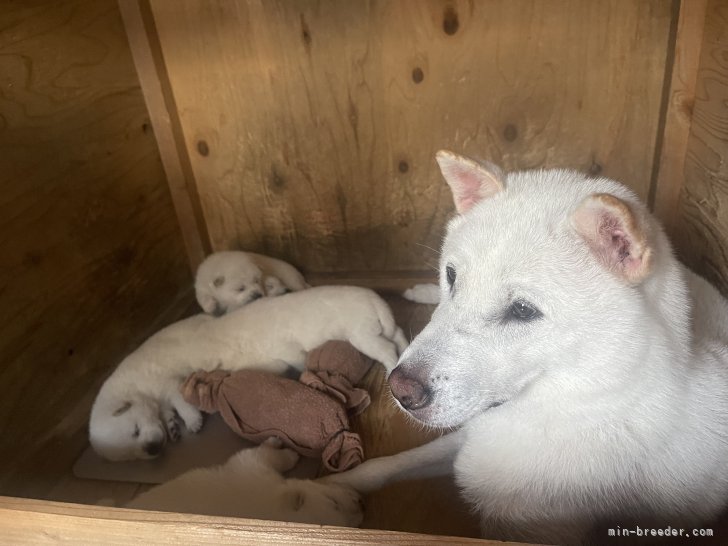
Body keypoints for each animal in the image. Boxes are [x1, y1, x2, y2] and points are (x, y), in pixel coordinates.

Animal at [88, 284, 406, 460]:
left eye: (135, 431)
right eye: (133, 452)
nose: (153, 450)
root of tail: (376, 300)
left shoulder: (165, 381)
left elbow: (179, 398)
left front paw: (191, 421)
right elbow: (170, 411)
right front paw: (174, 426)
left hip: (361, 334)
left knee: (387, 348)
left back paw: (391, 368)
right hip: (373, 329)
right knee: (398, 335)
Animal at [328, 151, 728, 544]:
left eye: (523, 310)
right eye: (452, 276)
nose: (399, 390)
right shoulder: (468, 433)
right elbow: (385, 465)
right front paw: (328, 487)